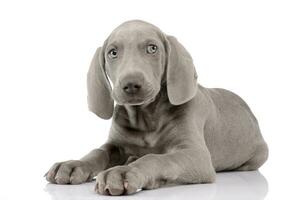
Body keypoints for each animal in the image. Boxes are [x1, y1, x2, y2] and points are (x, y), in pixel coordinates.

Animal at [45, 19, 268, 195]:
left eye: (152, 48)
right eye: (113, 52)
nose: (131, 84)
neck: (145, 117)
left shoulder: (197, 155)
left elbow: (157, 158)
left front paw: (123, 172)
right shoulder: (115, 143)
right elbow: (98, 151)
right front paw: (72, 165)